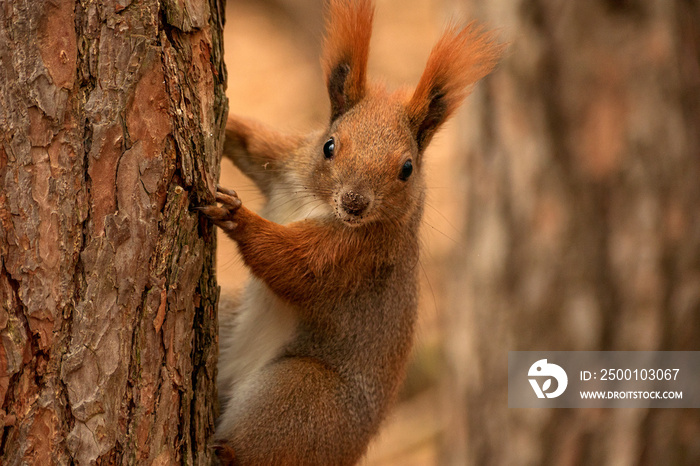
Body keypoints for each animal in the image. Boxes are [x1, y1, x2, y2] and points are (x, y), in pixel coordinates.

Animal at [197, 1, 504, 464]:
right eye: (329, 145)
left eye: (407, 168)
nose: (355, 203)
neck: (319, 200)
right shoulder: (286, 161)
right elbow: (251, 141)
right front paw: (229, 121)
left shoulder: (356, 255)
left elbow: (294, 266)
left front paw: (236, 215)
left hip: (305, 395)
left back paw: (224, 452)